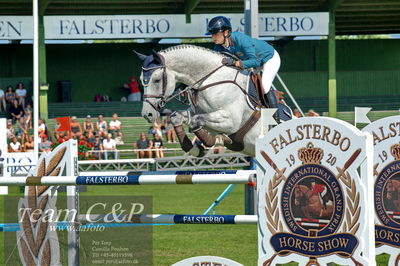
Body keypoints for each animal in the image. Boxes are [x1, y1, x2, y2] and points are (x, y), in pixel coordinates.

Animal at [134, 44, 290, 157]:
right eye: (141, 80)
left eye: (156, 80)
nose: (147, 114)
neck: (211, 79)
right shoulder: (198, 113)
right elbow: (178, 117)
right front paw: (196, 148)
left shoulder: (231, 121)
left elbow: (196, 121)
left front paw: (214, 141)